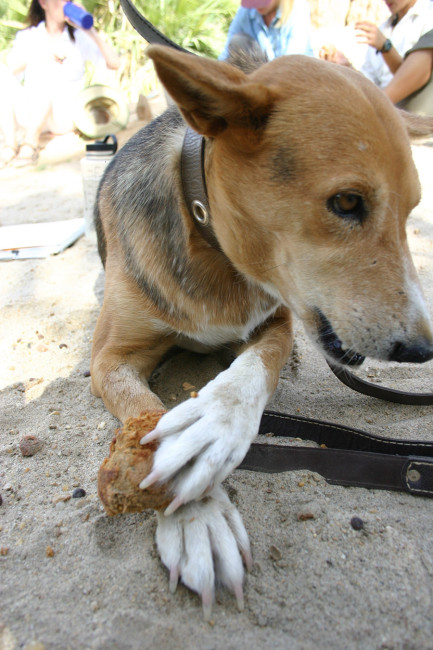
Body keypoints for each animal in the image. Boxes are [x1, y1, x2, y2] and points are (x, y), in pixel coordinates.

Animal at [91, 44, 433, 617]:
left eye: (411, 211)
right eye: (346, 202)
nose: (422, 350)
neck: (212, 242)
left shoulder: (277, 321)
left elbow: (253, 370)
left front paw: (214, 425)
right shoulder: (111, 357)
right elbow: (148, 416)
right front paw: (197, 516)